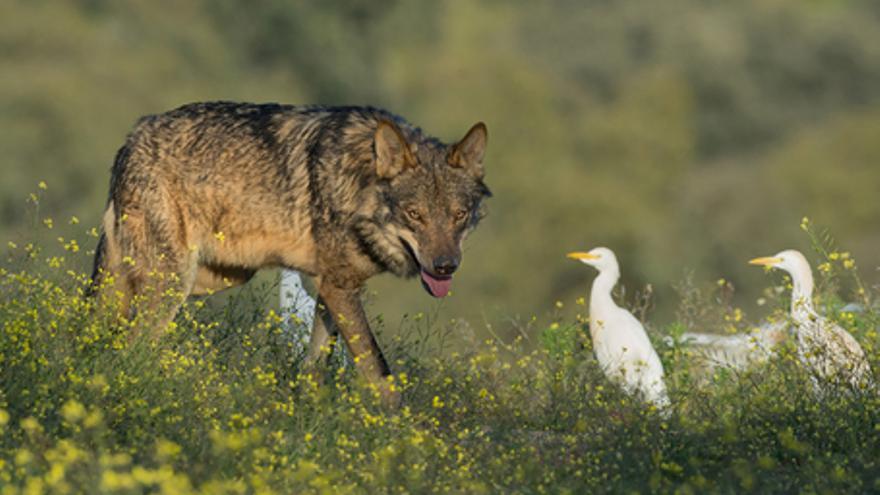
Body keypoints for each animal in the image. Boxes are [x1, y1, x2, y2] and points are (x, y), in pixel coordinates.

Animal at [91, 101, 488, 406]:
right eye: (415, 215)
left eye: (458, 215)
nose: (445, 266)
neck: (358, 181)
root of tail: (132, 138)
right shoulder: (340, 288)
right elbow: (380, 371)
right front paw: (400, 434)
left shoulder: (331, 288)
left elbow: (315, 365)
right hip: (176, 281)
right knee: (129, 345)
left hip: (214, 277)